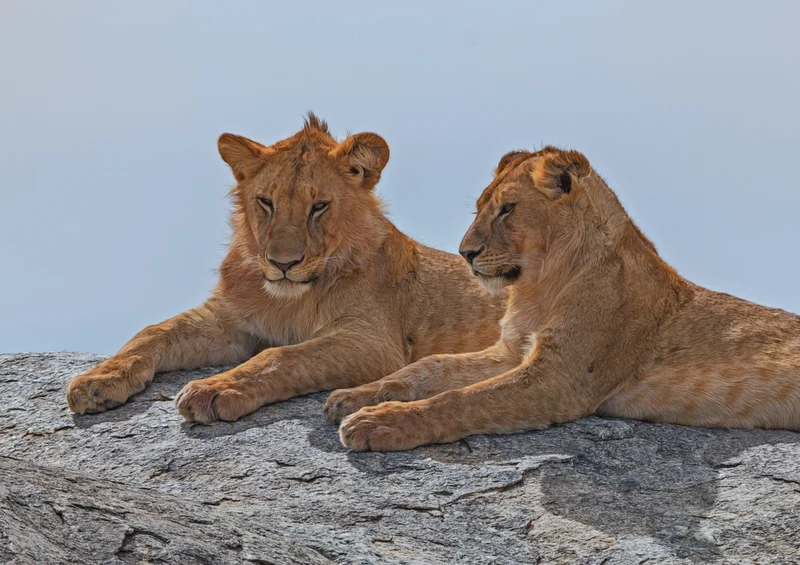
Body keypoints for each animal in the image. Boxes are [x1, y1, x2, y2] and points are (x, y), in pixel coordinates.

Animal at [66, 114, 506, 422]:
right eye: (266, 202)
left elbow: (281, 356)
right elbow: (153, 331)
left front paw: (214, 390)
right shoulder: (229, 322)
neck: (288, 298)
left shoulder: (375, 343)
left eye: (319, 206)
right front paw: (97, 380)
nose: (283, 263)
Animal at [326, 146, 800, 451]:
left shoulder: (561, 378)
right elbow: (429, 367)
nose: (465, 253)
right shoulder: (510, 351)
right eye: (478, 208)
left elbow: (462, 399)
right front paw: (356, 395)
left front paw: (380, 421)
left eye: (507, 209)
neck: (540, 285)